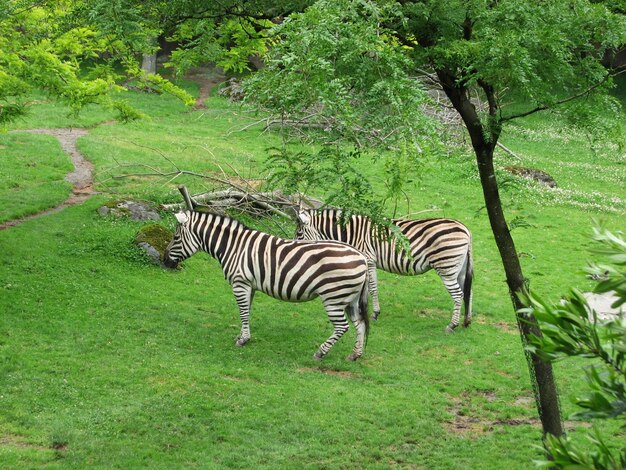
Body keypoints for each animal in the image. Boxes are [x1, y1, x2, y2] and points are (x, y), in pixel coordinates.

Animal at [163, 211, 368, 362]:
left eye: (175, 237)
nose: (165, 261)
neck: (233, 247)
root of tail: (363, 258)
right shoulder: (249, 285)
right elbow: (246, 311)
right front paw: (242, 336)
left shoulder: (240, 283)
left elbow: (243, 312)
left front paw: (243, 340)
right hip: (350, 299)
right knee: (360, 325)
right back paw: (355, 355)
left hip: (333, 297)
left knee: (343, 327)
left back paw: (320, 353)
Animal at [294, 209, 470, 334]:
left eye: (299, 233)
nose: (296, 251)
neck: (351, 232)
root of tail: (466, 229)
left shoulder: (368, 260)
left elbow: (372, 288)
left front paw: (374, 313)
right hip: (459, 268)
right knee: (467, 292)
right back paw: (466, 322)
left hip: (446, 267)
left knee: (458, 294)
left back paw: (452, 325)